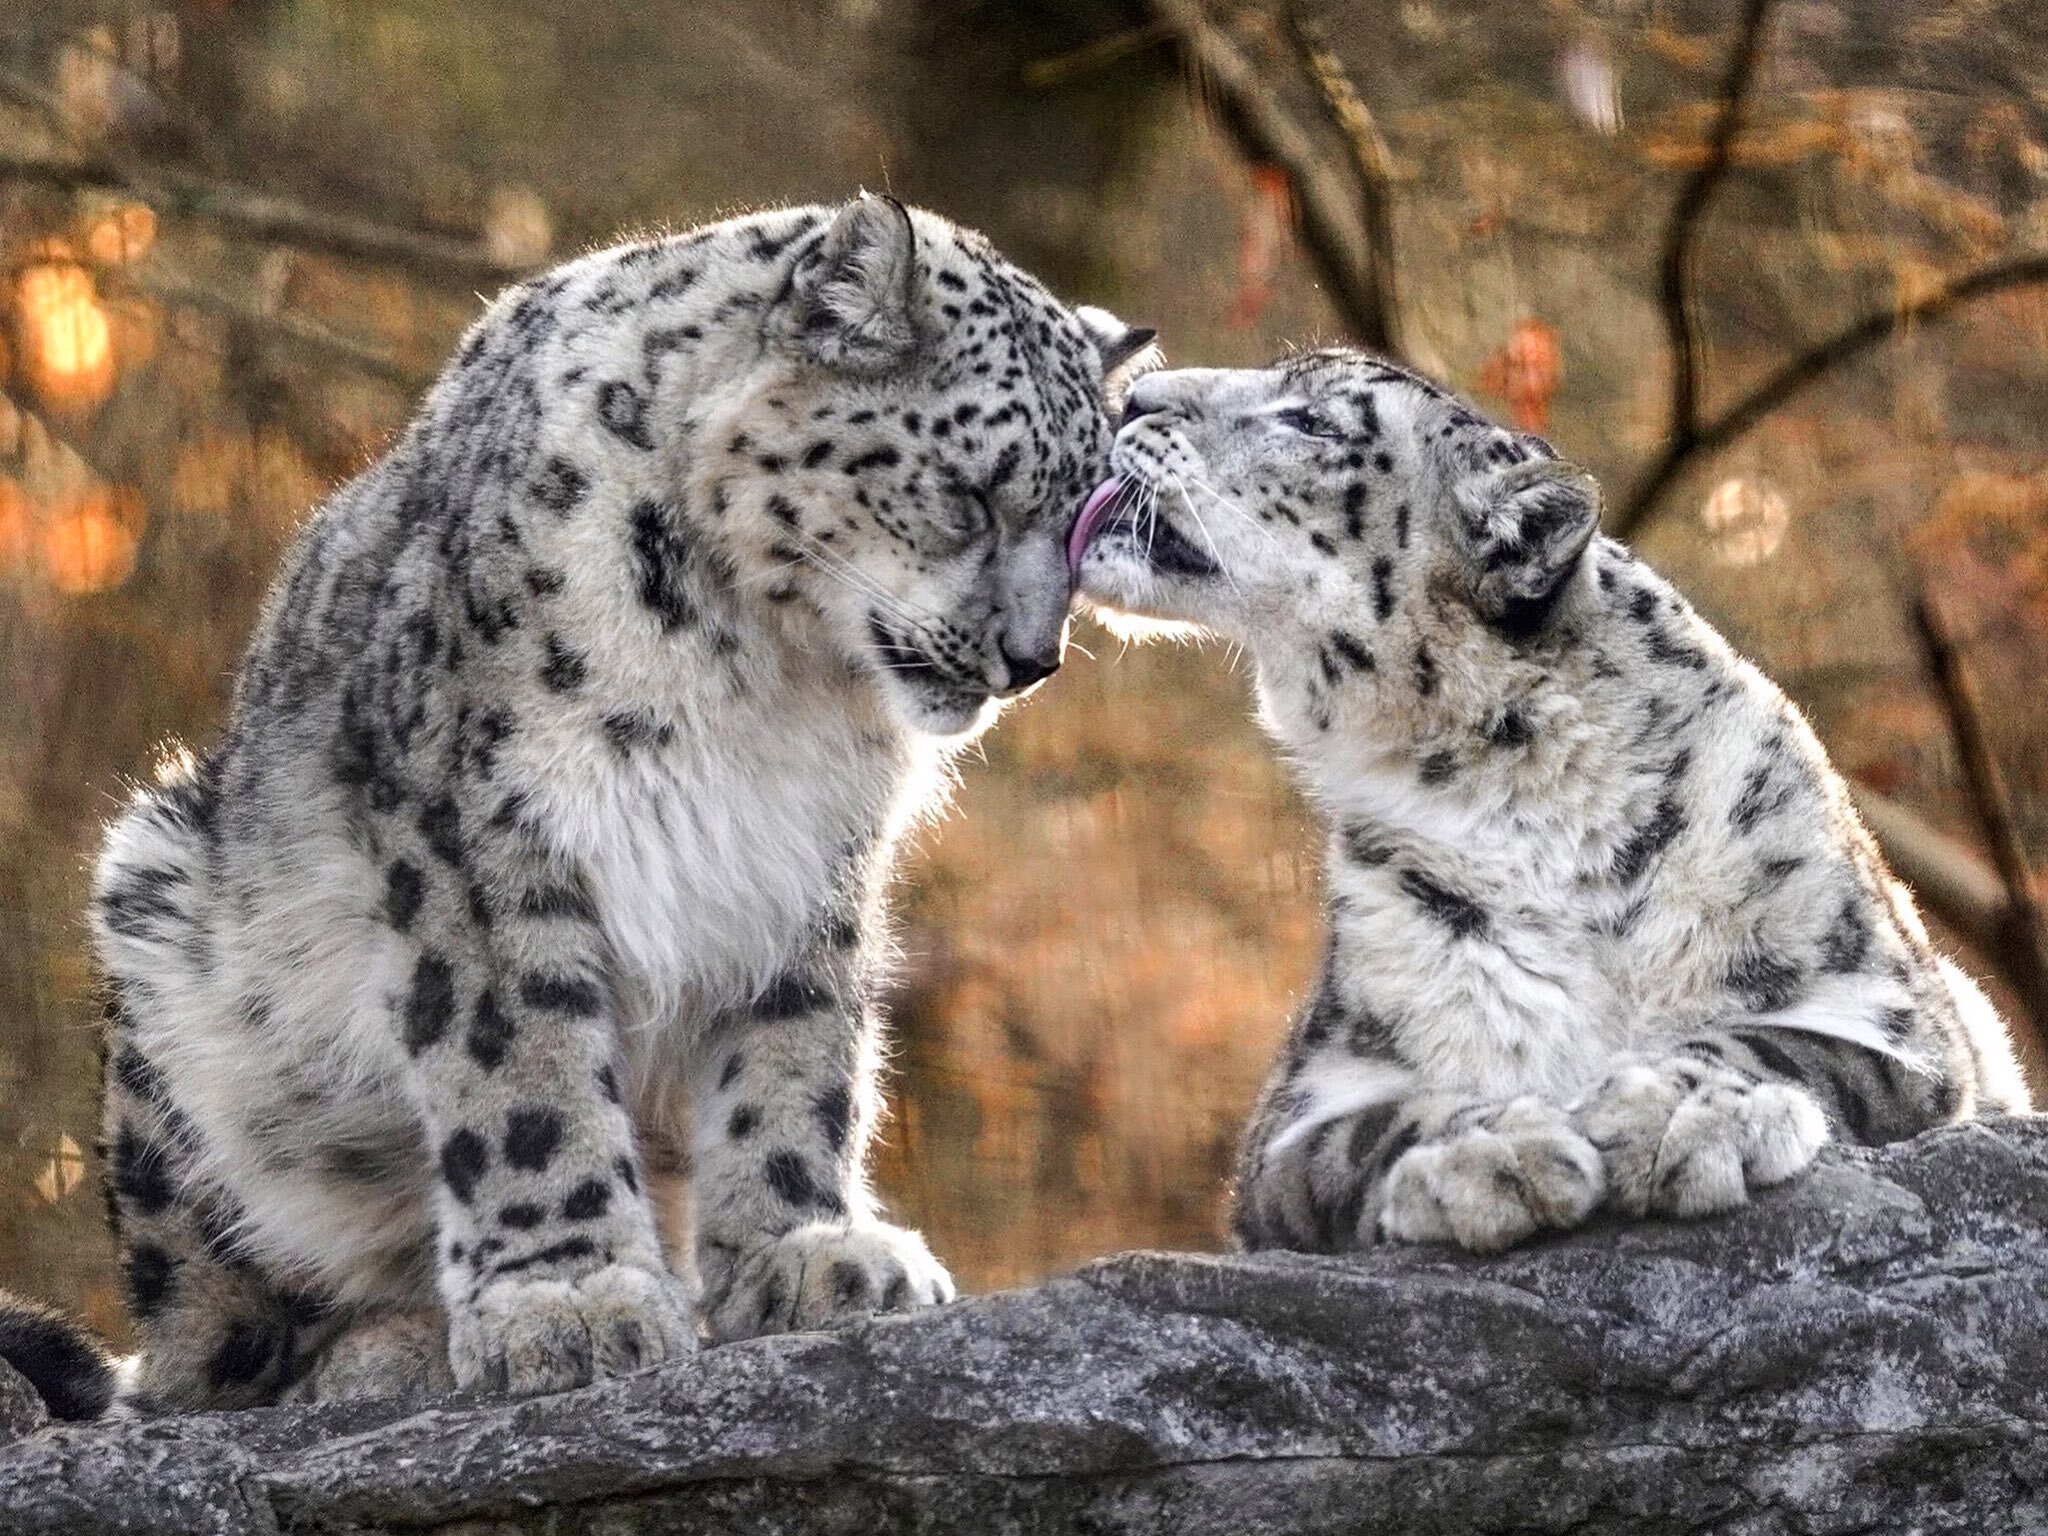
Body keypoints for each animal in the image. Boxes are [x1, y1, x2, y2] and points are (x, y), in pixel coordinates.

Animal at [39, 198, 1155, 1417]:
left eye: (1084, 526)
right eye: (966, 494)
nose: (1034, 659)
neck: (774, 674)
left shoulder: (806, 857)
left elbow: (797, 1049)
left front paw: (804, 1249)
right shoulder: (486, 825)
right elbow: (521, 1060)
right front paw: (569, 1298)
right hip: (171, 939)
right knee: (217, 1343)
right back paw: (384, 1347)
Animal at [1073, 352, 2031, 1261]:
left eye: (1313, 422)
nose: (1132, 395)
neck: (1527, 805)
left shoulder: (1888, 1007)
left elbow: (1767, 1043)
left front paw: (1672, 1113)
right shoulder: (1310, 1100)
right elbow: (1385, 1125)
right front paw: (1493, 1153)